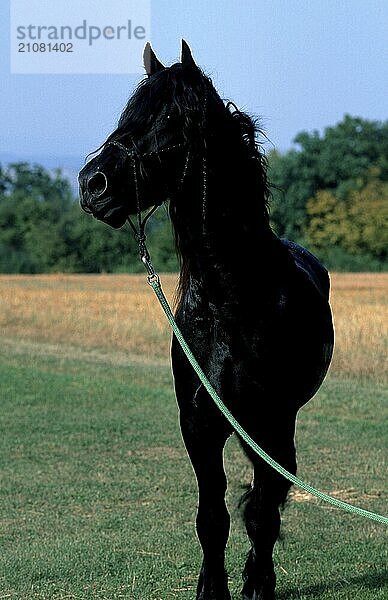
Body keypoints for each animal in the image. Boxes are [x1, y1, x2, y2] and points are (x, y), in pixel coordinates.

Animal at [79, 39, 334, 596]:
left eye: (170, 117)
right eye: (128, 113)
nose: (92, 184)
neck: (230, 302)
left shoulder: (270, 421)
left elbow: (261, 512)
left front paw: (258, 583)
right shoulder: (198, 422)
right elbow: (212, 516)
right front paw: (212, 587)